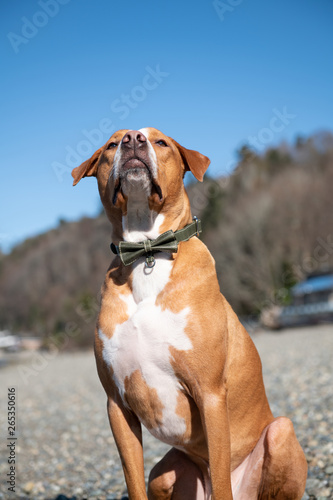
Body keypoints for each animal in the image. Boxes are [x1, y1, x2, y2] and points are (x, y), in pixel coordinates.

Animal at [72, 129, 306, 500]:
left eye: (161, 142)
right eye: (111, 145)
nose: (132, 139)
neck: (148, 252)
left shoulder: (209, 393)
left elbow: (222, 474)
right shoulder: (117, 405)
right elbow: (133, 481)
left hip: (279, 431)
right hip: (164, 474)